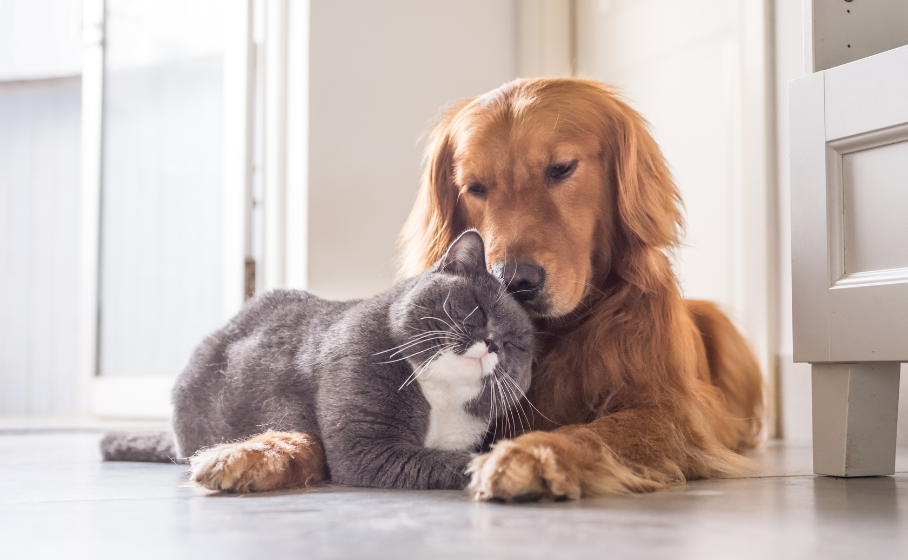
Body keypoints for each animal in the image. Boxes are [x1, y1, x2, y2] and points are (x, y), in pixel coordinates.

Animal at [103, 230, 536, 492]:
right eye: (477, 308)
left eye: (515, 345)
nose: (492, 343)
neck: (441, 397)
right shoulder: (367, 448)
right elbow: (452, 461)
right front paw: (500, 467)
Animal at [400, 77, 764, 498]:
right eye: (474, 187)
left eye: (561, 168)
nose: (514, 281)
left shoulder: (672, 413)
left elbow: (597, 431)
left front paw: (530, 453)